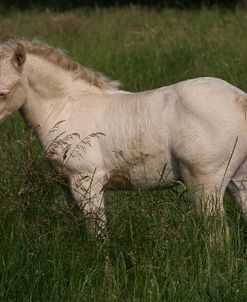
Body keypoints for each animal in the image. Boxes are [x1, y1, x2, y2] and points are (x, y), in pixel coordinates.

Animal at [0, 39, 247, 234]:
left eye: (3, 93)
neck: (67, 107)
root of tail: (240, 99)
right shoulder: (67, 186)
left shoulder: (86, 182)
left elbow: (97, 234)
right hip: (238, 180)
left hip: (206, 182)